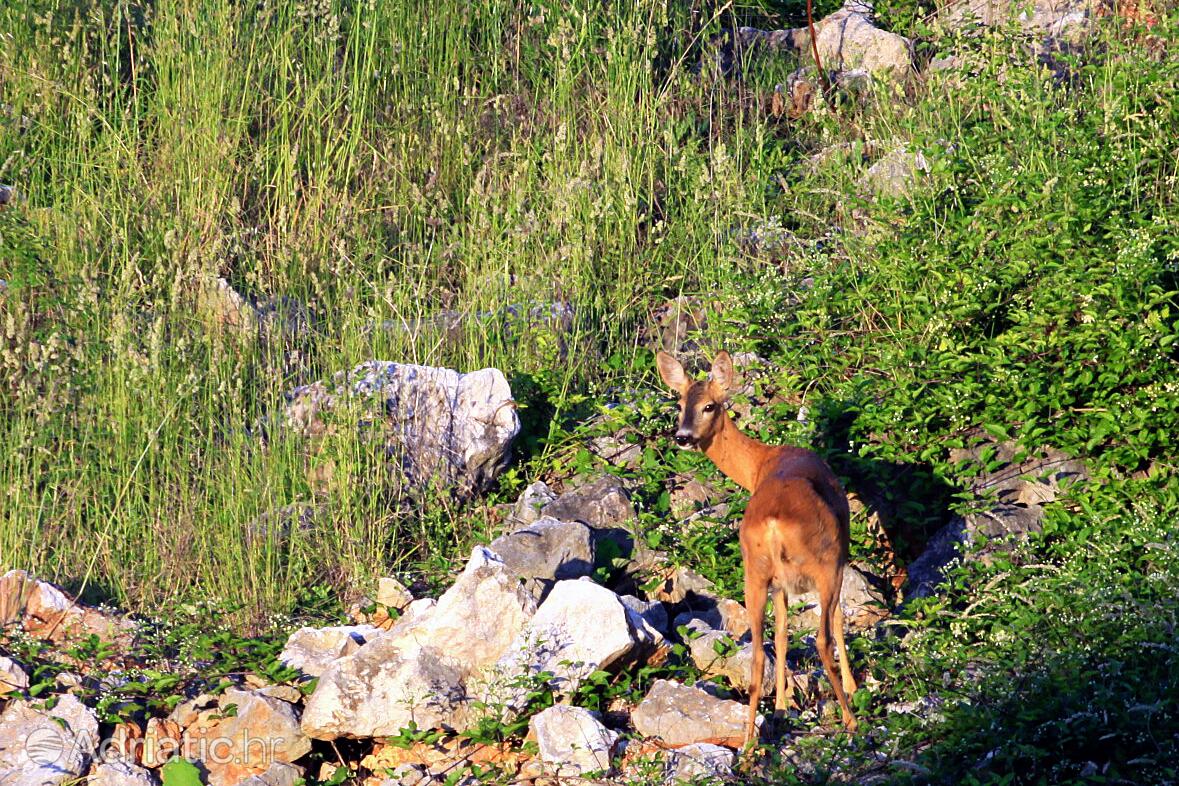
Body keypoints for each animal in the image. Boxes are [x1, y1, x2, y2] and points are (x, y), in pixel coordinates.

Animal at [655, 351, 858, 744]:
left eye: (707, 405)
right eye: (679, 404)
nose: (682, 437)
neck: (760, 464)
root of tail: (774, 523)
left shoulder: (779, 583)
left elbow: (780, 636)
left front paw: (780, 706)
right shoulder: (840, 555)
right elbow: (839, 619)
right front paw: (854, 686)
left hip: (755, 571)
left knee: (758, 653)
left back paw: (749, 744)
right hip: (823, 561)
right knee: (822, 637)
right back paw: (852, 720)